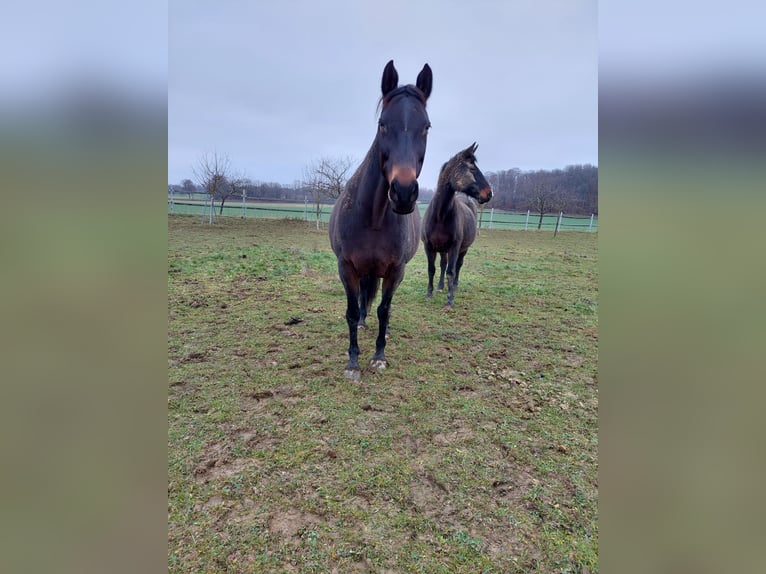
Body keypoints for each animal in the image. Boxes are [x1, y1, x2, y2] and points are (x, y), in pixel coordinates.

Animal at [329, 60, 432, 380]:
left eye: (426, 127)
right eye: (382, 124)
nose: (403, 192)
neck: (373, 217)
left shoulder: (395, 271)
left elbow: (384, 310)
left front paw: (378, 356)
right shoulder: (347, 268)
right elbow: (352, 311)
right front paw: (352, 362)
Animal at [422, 143, 493, 308]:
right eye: (472, 168)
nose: (489, 193)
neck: (440, 215)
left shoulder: (455, 246)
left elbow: (451, 271)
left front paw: (450, 300)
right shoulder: (429, 246)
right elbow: (431, 269)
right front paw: (429, 294)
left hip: (463, 248)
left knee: (458, 265)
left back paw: (454, 286)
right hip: (442, 249)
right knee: (443, 264)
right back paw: (441, 286)